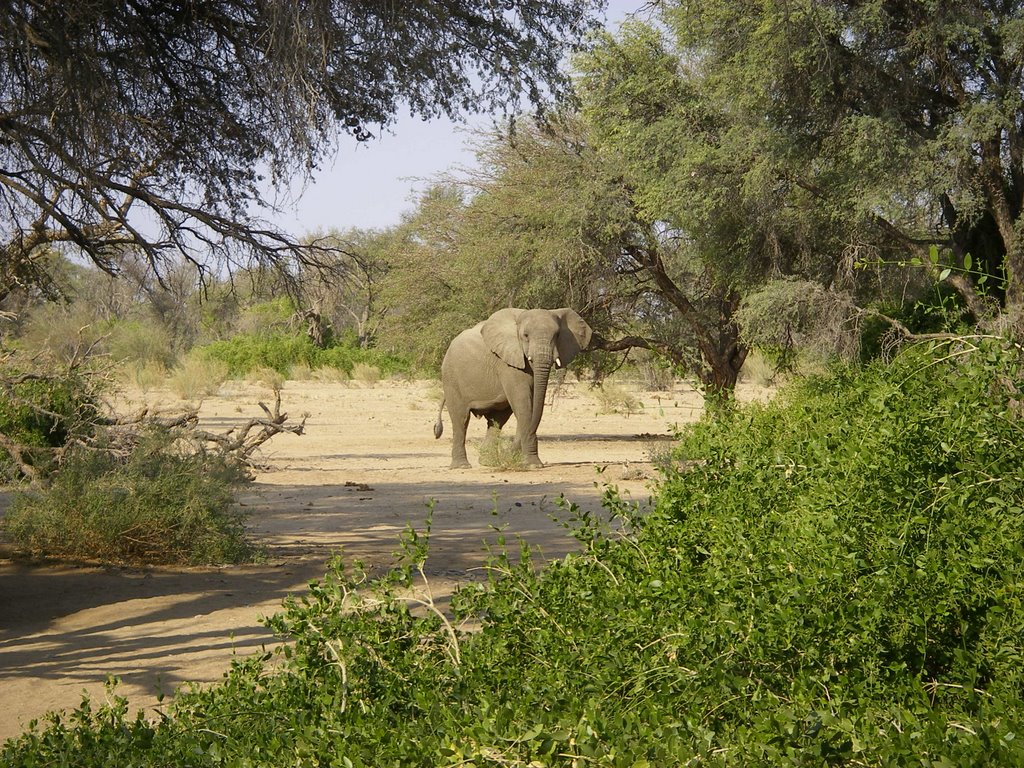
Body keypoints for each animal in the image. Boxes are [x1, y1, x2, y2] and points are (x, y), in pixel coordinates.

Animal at [432, 307, 593, 468]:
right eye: (525, 335)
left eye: (557, 335)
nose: (508, 454)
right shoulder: (507, 362)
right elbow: (523, 403)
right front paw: (533, 465)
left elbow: (530, 404)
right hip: (451, 378)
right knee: (461, 419)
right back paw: (462, 465)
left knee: (497, 420)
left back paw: (488, 461)